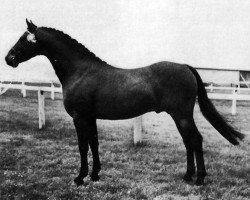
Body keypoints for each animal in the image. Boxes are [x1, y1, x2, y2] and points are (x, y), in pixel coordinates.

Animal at [5, 19, 244, 186]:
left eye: (23, 39)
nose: (9, 58)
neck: (80, 71)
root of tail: (185, 66)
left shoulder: (80, 118)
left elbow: (83, 146)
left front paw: (80, 177)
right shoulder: (90, 118)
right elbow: (94, 143)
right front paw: (95, 174)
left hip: (182, 115)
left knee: (195, 140)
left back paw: (200, 179)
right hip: (179, 116)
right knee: (188, 142)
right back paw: (187, 175)